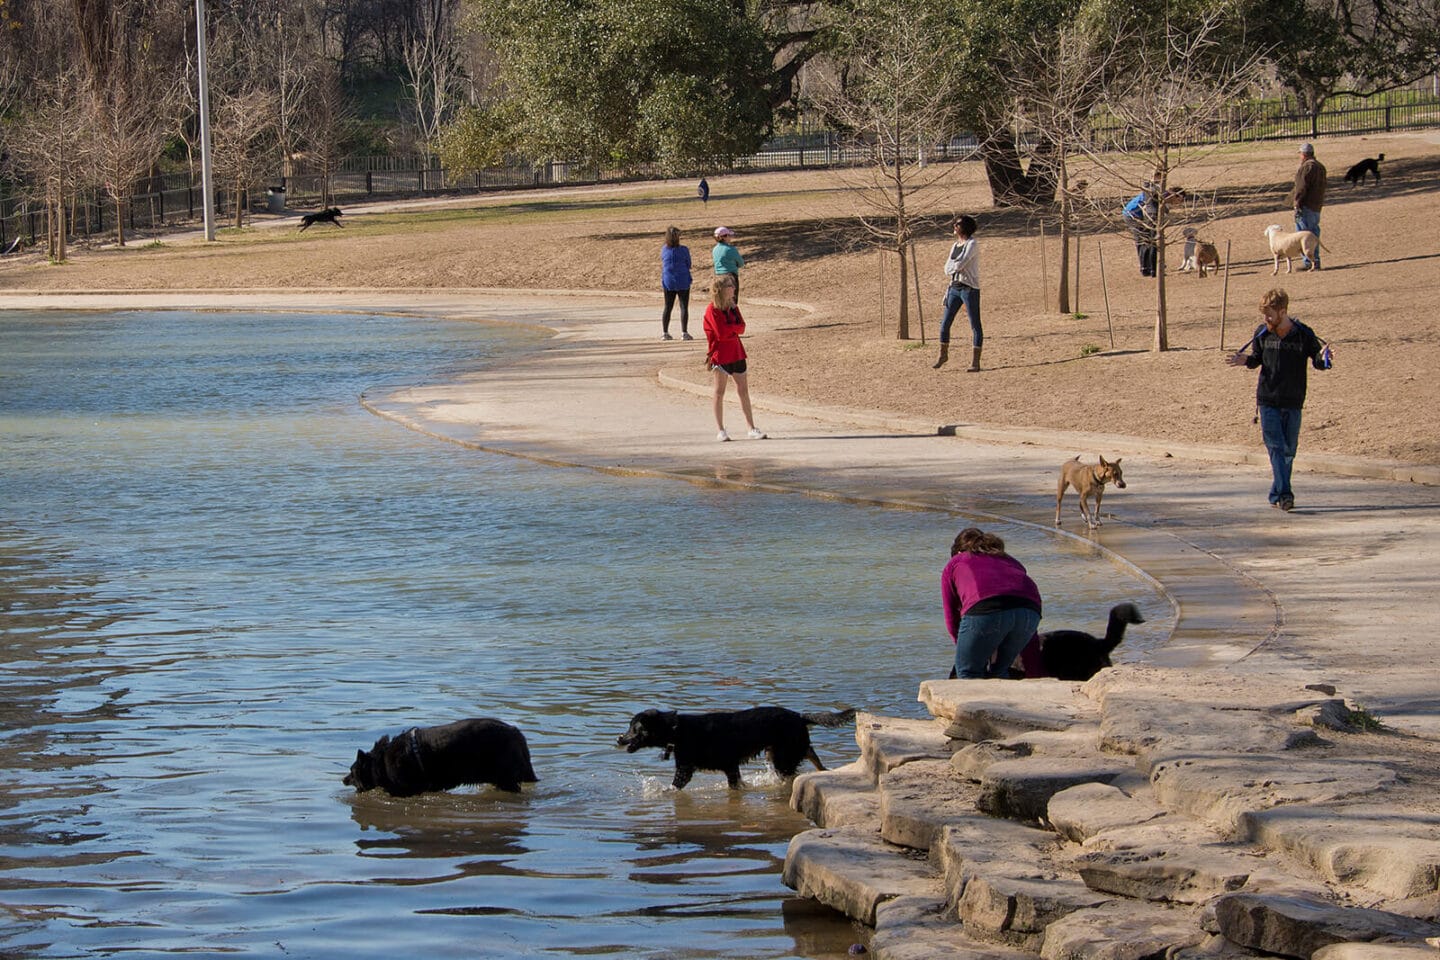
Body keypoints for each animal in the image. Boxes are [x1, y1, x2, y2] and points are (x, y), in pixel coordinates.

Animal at [344, 716, 541, 800]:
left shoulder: (405, 790)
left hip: (506, 778)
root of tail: (516, 732)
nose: (343, 779)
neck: (381, 761)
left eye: (352, 771)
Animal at [616, 705, 852, 788]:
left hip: (783, 757)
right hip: (784, 750)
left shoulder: (685, 769)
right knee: (813, 756)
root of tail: (800, 716)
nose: (619, 738)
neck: (678, 731)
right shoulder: (730, 767)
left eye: (634, 728)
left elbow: (673, 788)